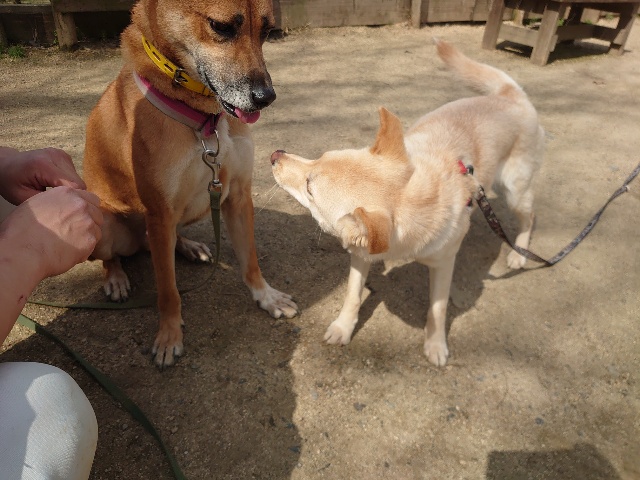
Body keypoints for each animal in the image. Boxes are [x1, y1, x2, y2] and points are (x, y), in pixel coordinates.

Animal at [83, 0, 298, 368]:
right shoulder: (159, 213)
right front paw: (169, 335)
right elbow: (168, 290)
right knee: (113, 257)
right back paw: (116, 278)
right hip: (103, 222)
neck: (204, 120)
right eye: (221, 27)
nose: (265, 97)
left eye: (268, 30)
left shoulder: (237, 196)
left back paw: (189, 246)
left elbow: (250, 261)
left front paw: (266, 296)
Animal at [271, 40, 544, 366]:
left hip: (516, 191)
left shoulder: (444, 264)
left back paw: (519, 254)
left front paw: (436, 344)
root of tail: (509, 95)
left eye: (310, 188)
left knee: (530, 218)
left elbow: (437, 309)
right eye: (319, 156)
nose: (274, 155)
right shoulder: (361, 254)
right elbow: (352, 294)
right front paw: (343, 327)